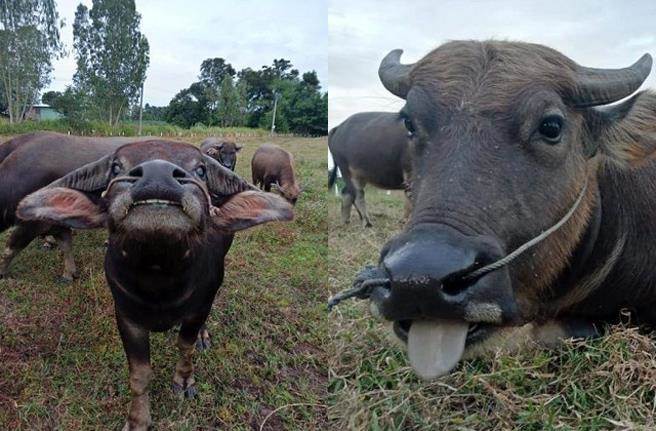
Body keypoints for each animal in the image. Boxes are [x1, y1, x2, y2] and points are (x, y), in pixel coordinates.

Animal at [16, 140, 294, 430]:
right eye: (116, 166)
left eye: (201, 170)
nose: (157, 176)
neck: (159, 278)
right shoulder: (127, 318)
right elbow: (139, 374)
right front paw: (137, 419)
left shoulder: (197, 309)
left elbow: (185, 345)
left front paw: (184, 380)